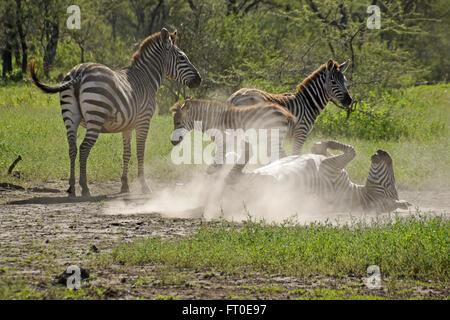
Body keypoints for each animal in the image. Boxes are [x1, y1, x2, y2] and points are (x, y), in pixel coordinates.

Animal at [29, 28, 201, 198]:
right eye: (181, 57)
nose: (199, 79)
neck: (146, 78)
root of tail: (79, 72)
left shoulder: (128, 125)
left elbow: (127, 153)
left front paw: (125, 185)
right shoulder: (144, 120)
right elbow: (140, 151)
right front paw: (143, 185)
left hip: (70, 117)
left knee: (72, 148)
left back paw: (71, 188)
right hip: (95, 115)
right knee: (84, 148)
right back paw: (85, 188)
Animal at [239, 141, 412, 212]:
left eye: (390, 185)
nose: (383, 151)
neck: (362, 195)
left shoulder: (332, 167)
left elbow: (352, 151)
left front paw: (326, 143)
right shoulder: (331, 162)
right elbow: (324, 151)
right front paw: (320, 144)